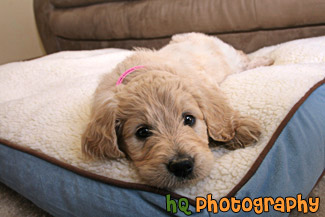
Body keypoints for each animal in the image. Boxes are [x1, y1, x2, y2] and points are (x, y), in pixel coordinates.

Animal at [81, 32, 270, 188]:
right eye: (142, 132)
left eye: (189, 119)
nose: (182, 165)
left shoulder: (204, 83)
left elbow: (219, 109)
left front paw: (239, 129)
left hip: (229, 57)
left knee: (244, 59)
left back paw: (265, 60)